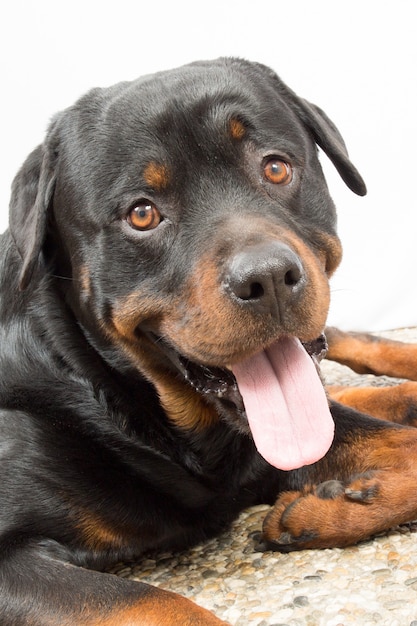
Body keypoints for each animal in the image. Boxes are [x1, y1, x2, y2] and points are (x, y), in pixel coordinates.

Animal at [2, 57, 416, 620]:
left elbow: (401, 442)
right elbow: (161, 606)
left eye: (276, 167)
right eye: (141, 213)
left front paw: (325, 508)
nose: (267, 278)